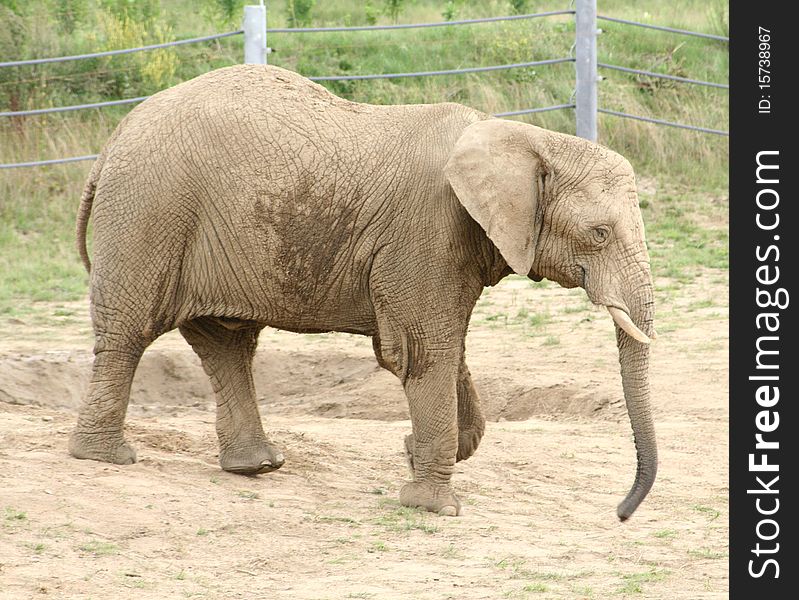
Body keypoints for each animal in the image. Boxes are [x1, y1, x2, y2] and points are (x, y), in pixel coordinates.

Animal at [69, 63, 656, 516]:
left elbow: (447, 349)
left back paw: (256, 465)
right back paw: (105, 458)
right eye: (599, 234)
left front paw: (415, 451)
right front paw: (432, 506)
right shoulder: (426, 230)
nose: (621, 512)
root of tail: (114, 137)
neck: (523, 139)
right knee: (130, 333)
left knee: (226, 343)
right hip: (150, 212)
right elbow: (422, 350)